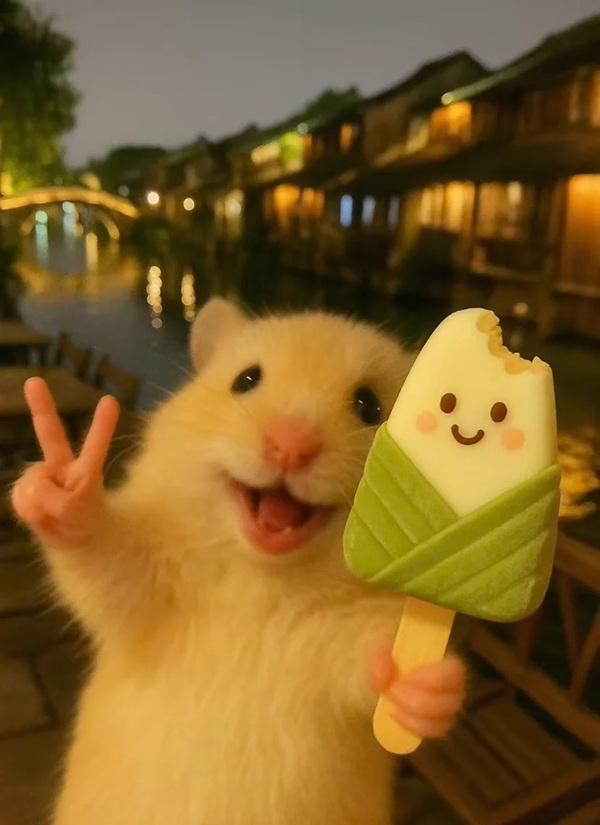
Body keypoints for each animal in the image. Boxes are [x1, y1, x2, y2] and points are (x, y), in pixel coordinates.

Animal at [12, 297, 466, 825]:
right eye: (246, 380)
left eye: (369, 405)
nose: (289, 446)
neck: (262, 582)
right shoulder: (147, 589)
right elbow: (100, 554)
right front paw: (63, 484)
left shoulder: (347, 645)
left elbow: (378, 661)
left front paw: (424, 685)